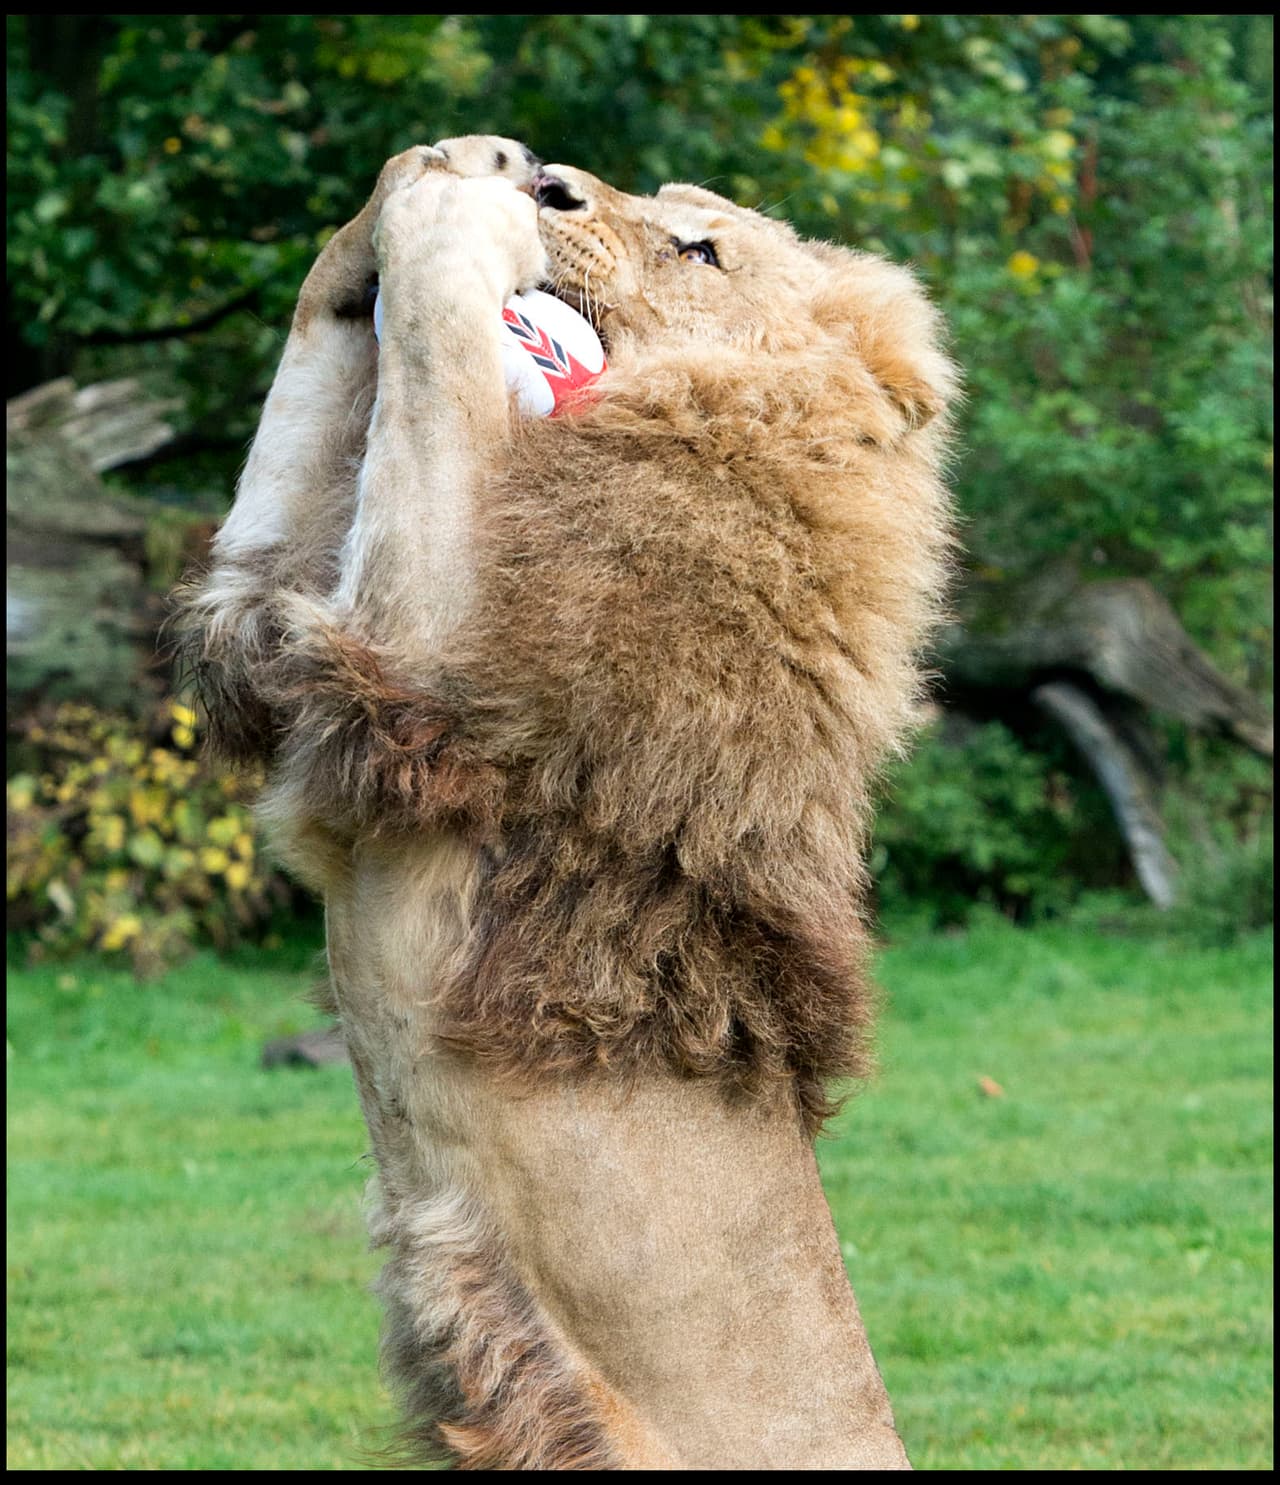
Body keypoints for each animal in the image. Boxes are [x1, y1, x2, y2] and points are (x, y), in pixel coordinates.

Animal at [177, 134, 957, 1469]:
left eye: (699, 247)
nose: (551, 183)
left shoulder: (422, 670)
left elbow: (434, 358)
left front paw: (464, 208)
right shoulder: (279, 632)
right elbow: (308, 412)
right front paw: (408, 188)